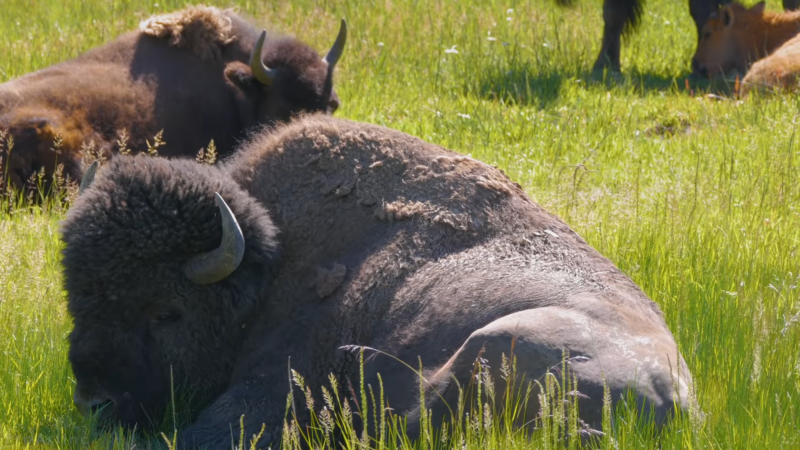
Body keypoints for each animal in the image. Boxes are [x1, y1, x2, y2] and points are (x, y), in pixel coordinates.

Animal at [64, 115, 692, 446]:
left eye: (166, 311)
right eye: (77, 299)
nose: (95, 403)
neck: (270, 267)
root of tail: (674, 398)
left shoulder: (273, 382)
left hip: (496, 343)